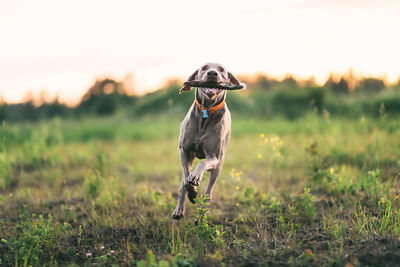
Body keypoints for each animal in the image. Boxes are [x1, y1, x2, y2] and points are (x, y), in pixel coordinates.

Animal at [170, 63, 242, 222]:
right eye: (204, 68)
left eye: (221, 69)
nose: (212, 73)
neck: (206, 111)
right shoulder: (184, 150)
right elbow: (186, 180)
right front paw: (192, 192)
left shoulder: (213, 157)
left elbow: (203, 164)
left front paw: (196, 178)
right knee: (183, 182)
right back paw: (179, 210)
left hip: (219, 164)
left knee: (209, 192)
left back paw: (201, 215)